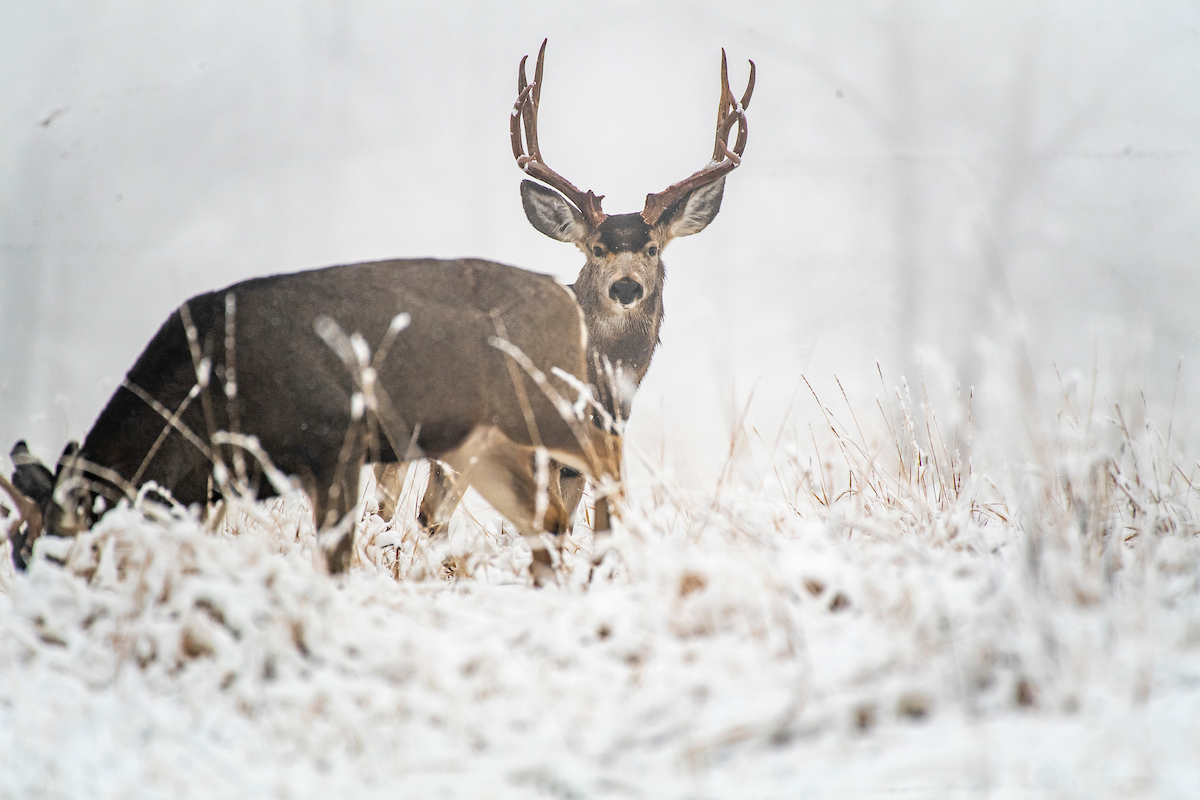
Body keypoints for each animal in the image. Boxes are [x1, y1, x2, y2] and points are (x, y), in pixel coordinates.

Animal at [374, 40, 753, 542]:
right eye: (597, 249)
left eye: (652, 248)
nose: (626, 286)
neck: (598, 387)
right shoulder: (539, 447)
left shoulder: (598, 449)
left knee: (427, 516)